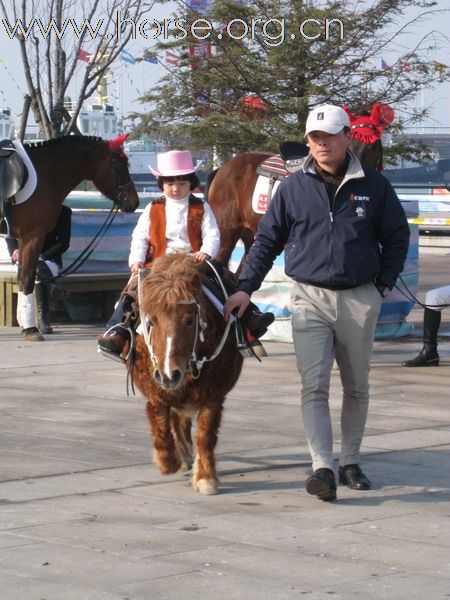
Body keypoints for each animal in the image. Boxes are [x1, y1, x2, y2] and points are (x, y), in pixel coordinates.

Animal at [5, 136, 139, 338]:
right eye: (119, 167)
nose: (134, 202)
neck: (46, 172)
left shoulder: (23, 237)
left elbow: (23, 275)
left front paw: (25, 323)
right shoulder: (33, 235)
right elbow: (27, 278)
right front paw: (30, 328)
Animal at [128, 252, 244, 492]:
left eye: (190, 320)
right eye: (150, 321)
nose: (169, 374)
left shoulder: (213, 395)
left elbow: (205, 436)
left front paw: (206, 477)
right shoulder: (156, 391)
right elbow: (161, 427)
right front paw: (167, 462)